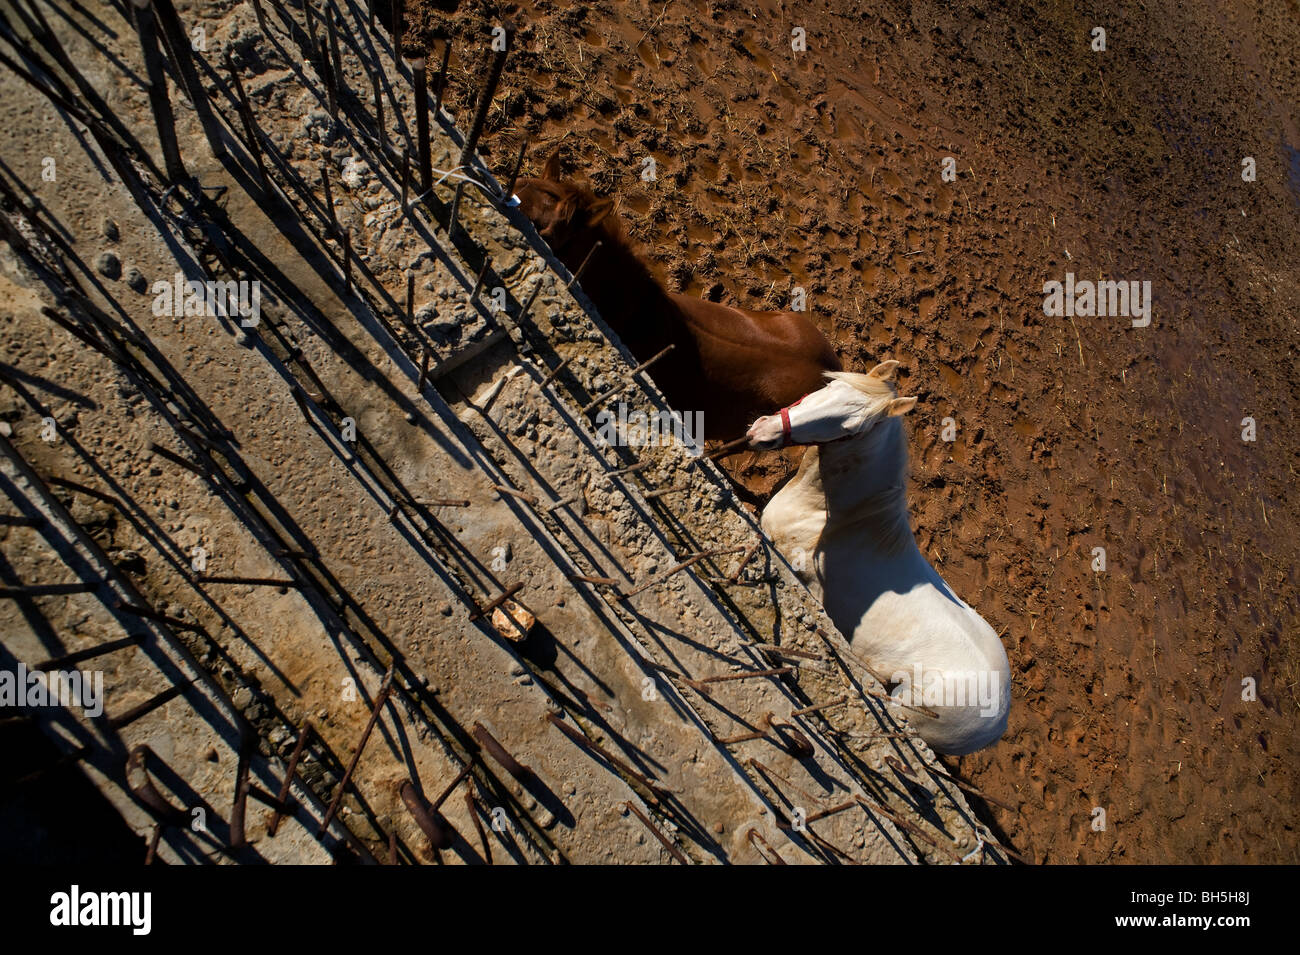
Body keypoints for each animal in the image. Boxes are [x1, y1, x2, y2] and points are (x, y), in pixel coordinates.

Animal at [748, 363, 1008, 753]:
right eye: (829, 386)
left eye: (852, 429)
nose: (763, 430)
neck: (837, 519)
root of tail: (1000, 717)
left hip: (905, 708)